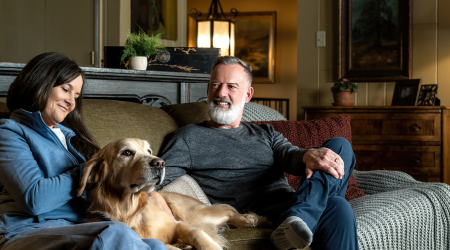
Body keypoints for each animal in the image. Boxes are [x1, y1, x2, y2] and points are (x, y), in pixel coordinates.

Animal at [77, 138, 270, 249]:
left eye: (149, 151)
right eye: (126, 152)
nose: (160, 163)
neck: (130, 211)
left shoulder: (178, 225)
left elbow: (198, 235)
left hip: (193, 214)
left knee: (228, 211)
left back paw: (252, 219)